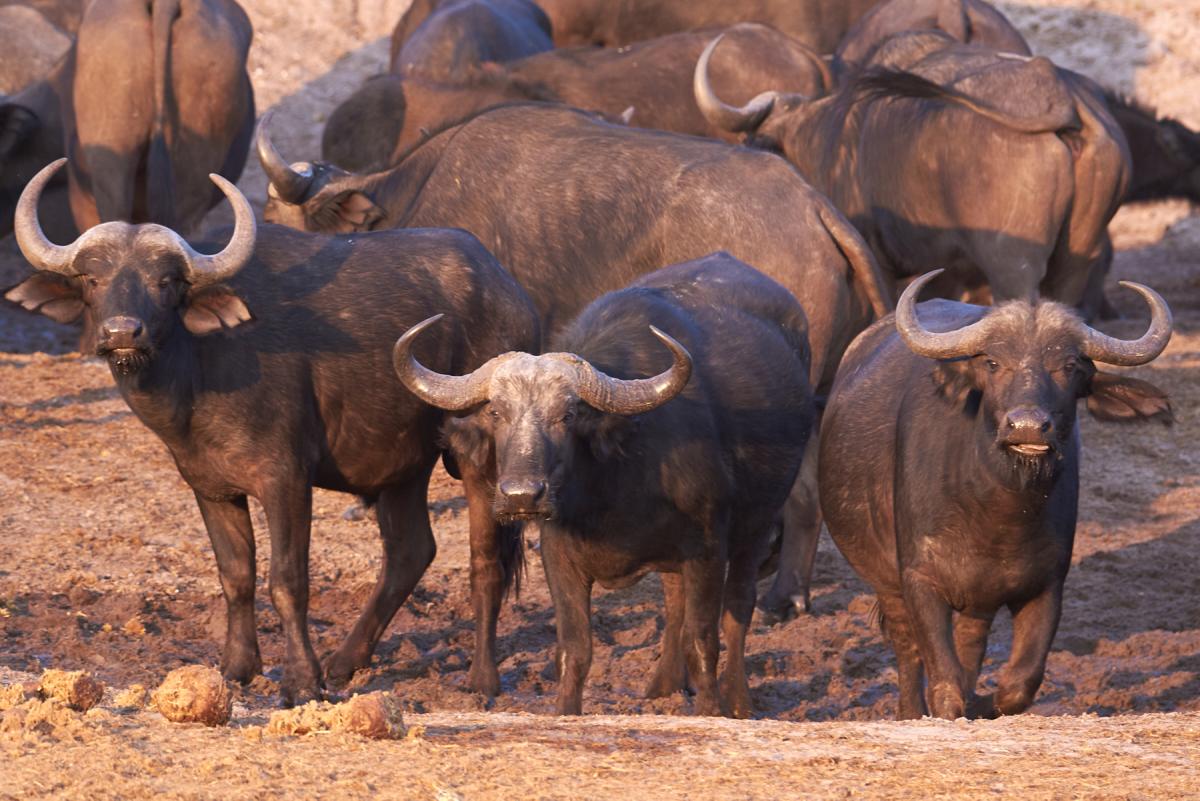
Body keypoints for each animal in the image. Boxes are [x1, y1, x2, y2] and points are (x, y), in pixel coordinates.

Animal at [5, 159, 540, 703]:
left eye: (165, 281)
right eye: (92, 278)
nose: (121, 333)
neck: (198, 371)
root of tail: (514, 297)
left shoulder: (285, 480)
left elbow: (287, 581)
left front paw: (302, 680)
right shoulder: (211, 487)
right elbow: (236, 575)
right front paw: (237, 667)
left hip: (478, 455)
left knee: (485, 562)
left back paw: (481, 679)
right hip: (402, 465)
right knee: (410, 550)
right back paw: (345, 661)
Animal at [393, 254, 814, 716]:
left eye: (567, 415)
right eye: (497, 413)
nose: (521, 495)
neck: (610, 491)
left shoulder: (708, 545)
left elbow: (703, 640)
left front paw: (711, 710)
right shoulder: (559, 555)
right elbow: (575, 648)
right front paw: (565, 711)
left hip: (755, 525)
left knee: (738, 606)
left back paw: (737, 699)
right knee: (674, 602)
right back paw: (663, 686)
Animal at [820, 270, 1172, 719]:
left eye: (1069, 366)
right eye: (992, 363)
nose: (1027, 427)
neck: (997, 516)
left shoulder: (1047, 585)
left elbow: (1019, 684)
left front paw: (984, 702)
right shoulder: (919, 579)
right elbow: (945, 682)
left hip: (977, 602)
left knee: (971, 644)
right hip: (885, 580)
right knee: (907, 648)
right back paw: (909, 710)